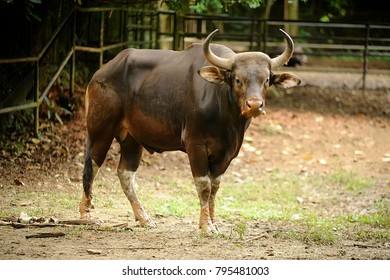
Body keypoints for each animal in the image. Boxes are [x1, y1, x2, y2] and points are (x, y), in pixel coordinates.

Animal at [80, 28, 302, 234]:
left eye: (266, 80)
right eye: (238, 79)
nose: (255, 105)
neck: (225, 114)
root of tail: (100, 74)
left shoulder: (228, 152)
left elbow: (214, 188)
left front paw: (213, 222)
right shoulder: (195, 145)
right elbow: (204, 186)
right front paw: (206, 226)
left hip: (132, 139)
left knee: (125, 174)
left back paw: (144, 218)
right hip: (100, 130)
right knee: (91, 165)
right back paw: (86, 214)